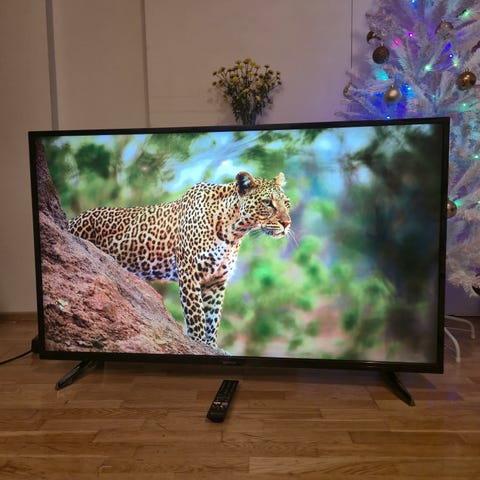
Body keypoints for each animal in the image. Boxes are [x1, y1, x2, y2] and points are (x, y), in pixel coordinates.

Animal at [68, 171, 291, 348]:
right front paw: (199, 341)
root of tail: (73, 219)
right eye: (268, 203)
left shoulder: (216, 281)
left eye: (287, 204)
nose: (287, 223)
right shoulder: (190, 274)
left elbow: (213, 318)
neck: (233, 232)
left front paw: (212, 346)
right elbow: (197, 315)